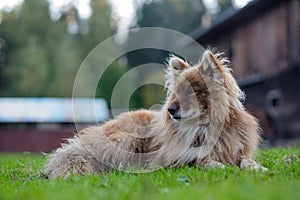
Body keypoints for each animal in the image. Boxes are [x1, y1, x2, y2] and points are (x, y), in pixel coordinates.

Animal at [44, 50, 268, 178]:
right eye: (175, 93)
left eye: (191, 91)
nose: (170, 110)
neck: (202, 128)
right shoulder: (178, 157)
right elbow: (204, 161)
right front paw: (222, 167)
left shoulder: (238, 151)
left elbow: (247, 162)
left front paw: (258, 169)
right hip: (129, 139)